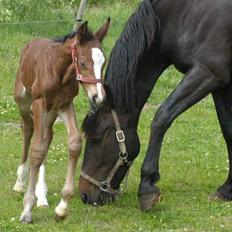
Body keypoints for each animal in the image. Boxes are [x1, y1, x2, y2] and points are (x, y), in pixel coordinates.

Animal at [12, 18, 110, 223]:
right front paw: (27, 210)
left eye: (103, 63)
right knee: (28, 130)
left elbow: (74, 143)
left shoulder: (65, 105)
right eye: (83, 62)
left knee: (47, 136)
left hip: (51, 112)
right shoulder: (40, 103)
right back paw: (19, 182)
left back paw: (42, 195)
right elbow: (36, 150)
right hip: (24, 101)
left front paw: (62, 208)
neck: (59, 71)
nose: (98, 97)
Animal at [78, 0, 232, 210]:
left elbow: (161, 117)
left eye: (96, 138)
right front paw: (227, 188)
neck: (187, 12)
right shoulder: (221, 84)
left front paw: (147, 186)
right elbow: (228, 130)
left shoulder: (207, 73)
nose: (84, 195)